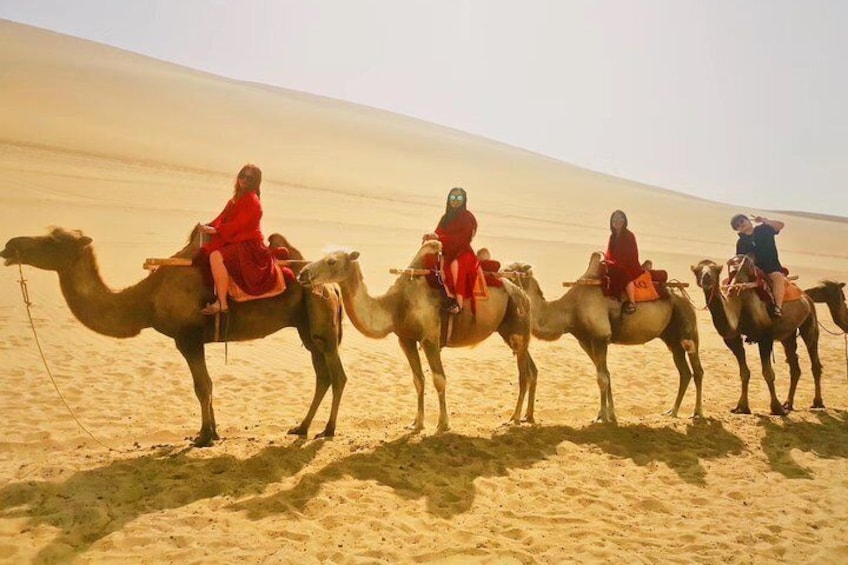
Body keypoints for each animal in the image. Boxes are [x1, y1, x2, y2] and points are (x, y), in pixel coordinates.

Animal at [1, 227, 348, 448]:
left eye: (53, 241)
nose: (9, 245)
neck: (146, 299)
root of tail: (334, 287)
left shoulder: (188, 339)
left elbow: (202, 386)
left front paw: (204, 436)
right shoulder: (192, 342)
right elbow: (206, 386)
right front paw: (212, 432)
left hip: (322, 323)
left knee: (337, 375)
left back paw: (328, 430)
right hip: (306, 329)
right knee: (322, 374)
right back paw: (301, 427)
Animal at [298, 239, 536, 432]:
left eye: (331, 261)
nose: (302, 273)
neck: (396, 306)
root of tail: (523, 293)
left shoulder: (430, 339)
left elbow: (439, 380)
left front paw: (443, 424)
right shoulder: (406, 339)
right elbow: (418, 380)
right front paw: (416, 423)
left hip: (518, 330)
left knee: (523, 374)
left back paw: (514, 418)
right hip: (510, 332)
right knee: (532, 369)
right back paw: (528, 416)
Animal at [500, 252, 704, 424]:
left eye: (512, 272)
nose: (498, 276)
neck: (570, 311)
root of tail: (681, 294)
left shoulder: (600, 338)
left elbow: (602, 378)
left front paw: (603, 417)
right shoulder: (586, 341)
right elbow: (606, 374)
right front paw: (608, 414)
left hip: (687, 326)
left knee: (697, 369)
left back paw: (698, 413)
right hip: (671, 338)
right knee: (684, 371)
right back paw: (672, 411)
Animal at [688, 256, 820, 414]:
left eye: (716, 270)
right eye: (697, 271)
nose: (706, 279)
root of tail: (805, 295)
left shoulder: (765, 338)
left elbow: (768, 373)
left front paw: (776, 408)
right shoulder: (733, 340)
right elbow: (744, 373)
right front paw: (742, 407)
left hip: (810, 320)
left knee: (814, 359)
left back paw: (817, 403)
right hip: (787, 335)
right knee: (794, 367)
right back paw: (788, 404)